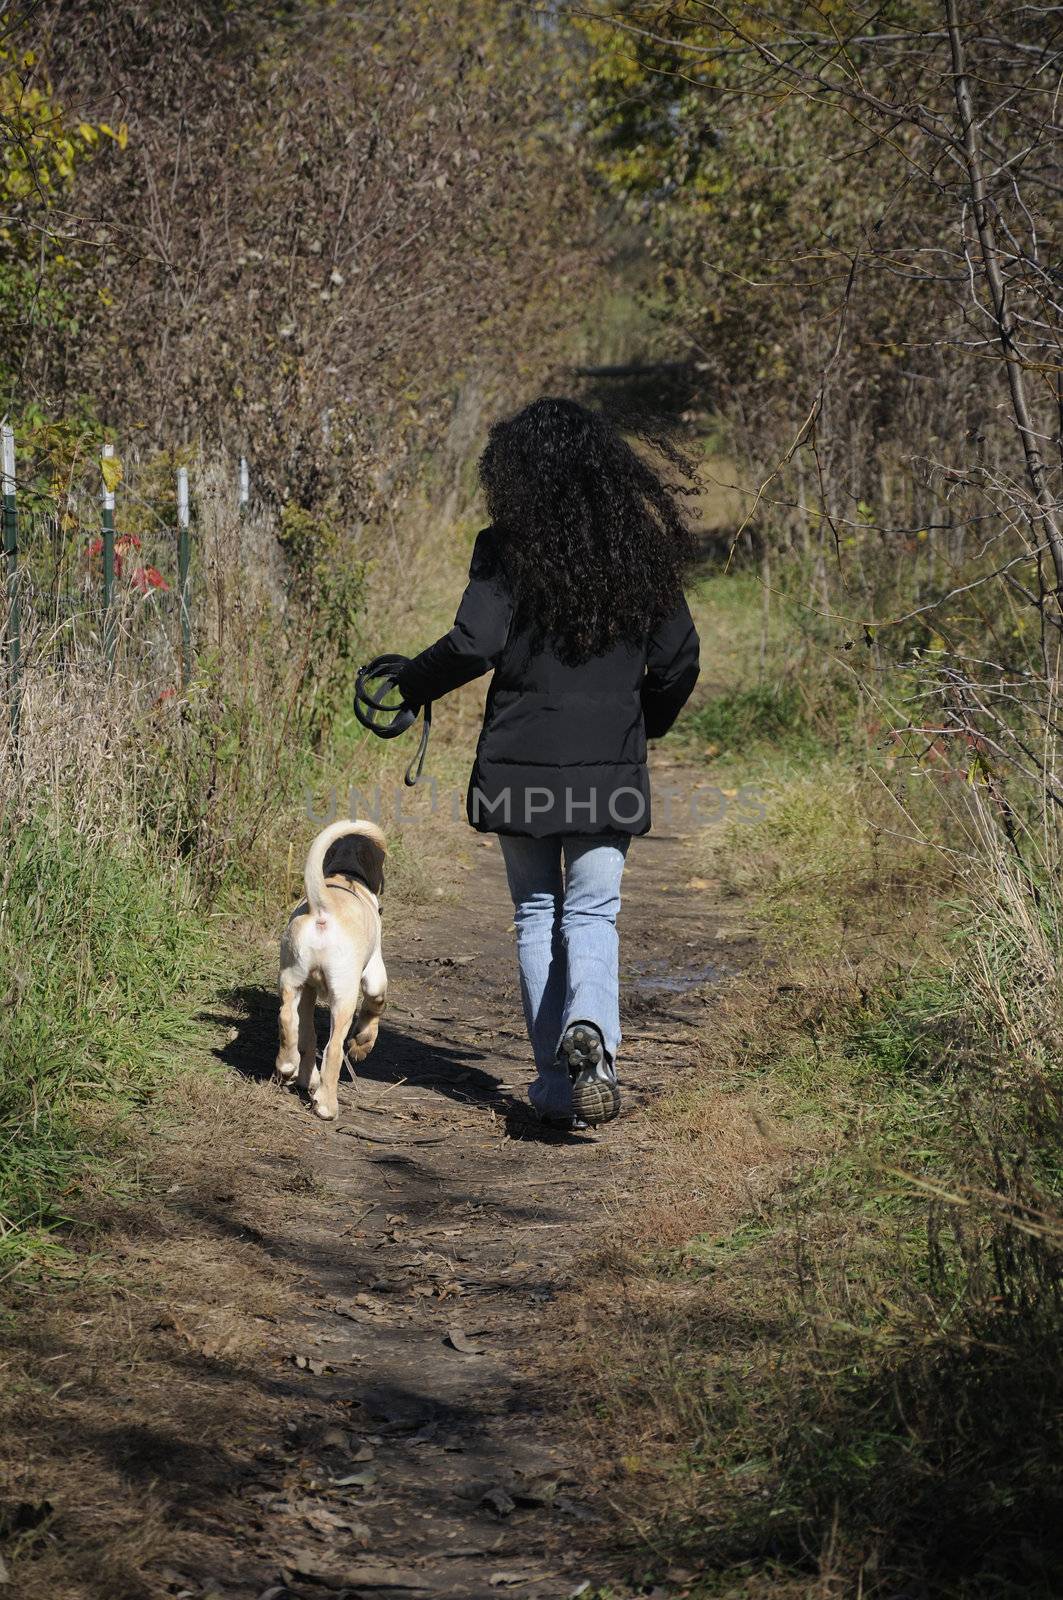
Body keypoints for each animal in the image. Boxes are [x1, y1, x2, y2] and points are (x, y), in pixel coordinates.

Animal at [275, 819, 389, 1120]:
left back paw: (289, 1066)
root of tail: (322, 909)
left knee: (290, 1020)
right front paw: (363, 1044)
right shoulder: (374, 973)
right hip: (344, 996)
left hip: (292, 977)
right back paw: (327, 1105)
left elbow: (306, 1034)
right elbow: (376, 1002)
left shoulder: (308, 989)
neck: (344, 874)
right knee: (333, 1048)